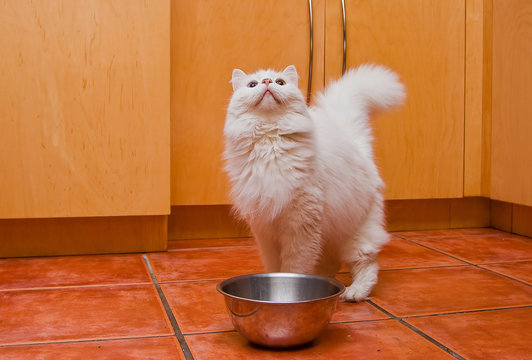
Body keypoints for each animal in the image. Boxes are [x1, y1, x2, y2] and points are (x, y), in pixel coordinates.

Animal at [223, 64, 404, 300]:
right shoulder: (266, 230)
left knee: (367, 263)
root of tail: (357, 145)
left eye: (280, 82)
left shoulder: (301, 226)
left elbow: (293, 268)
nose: (266, 82)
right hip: (330, 237)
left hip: (356, 233)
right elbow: (274, 266)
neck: (269, 142)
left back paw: (354, 293)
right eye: (252, 85)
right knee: (331, 263)